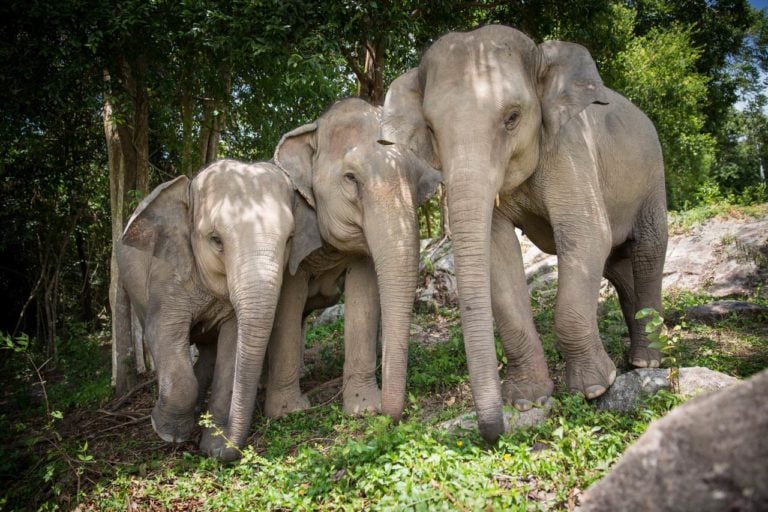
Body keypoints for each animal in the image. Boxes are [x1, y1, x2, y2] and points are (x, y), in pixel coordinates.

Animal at [117, 159, 317, 459]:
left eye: (290, 239)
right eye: (216, 240)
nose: (222, 450)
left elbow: (232, 344)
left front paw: (212, 442)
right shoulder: (168, 274)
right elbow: (163, 332)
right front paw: (168, 433)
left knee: (209, 350)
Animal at [263, 97, 442, 425]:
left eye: (416, 183)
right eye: (351, 178)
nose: (392, 417)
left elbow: (364, 297)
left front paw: (364, 408)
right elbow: (288, 301)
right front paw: (288, 412)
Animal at [381, 25, 668, 442]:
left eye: (512, 117)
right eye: (431, 129)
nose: (493, 433)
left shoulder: (568, 146)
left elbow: (585, 234)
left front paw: (596, 388)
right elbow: (498, 253)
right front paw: (527, 400)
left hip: (652, 174)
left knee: (647, 249)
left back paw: (646, 362)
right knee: (617, 265)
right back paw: (634, 359)